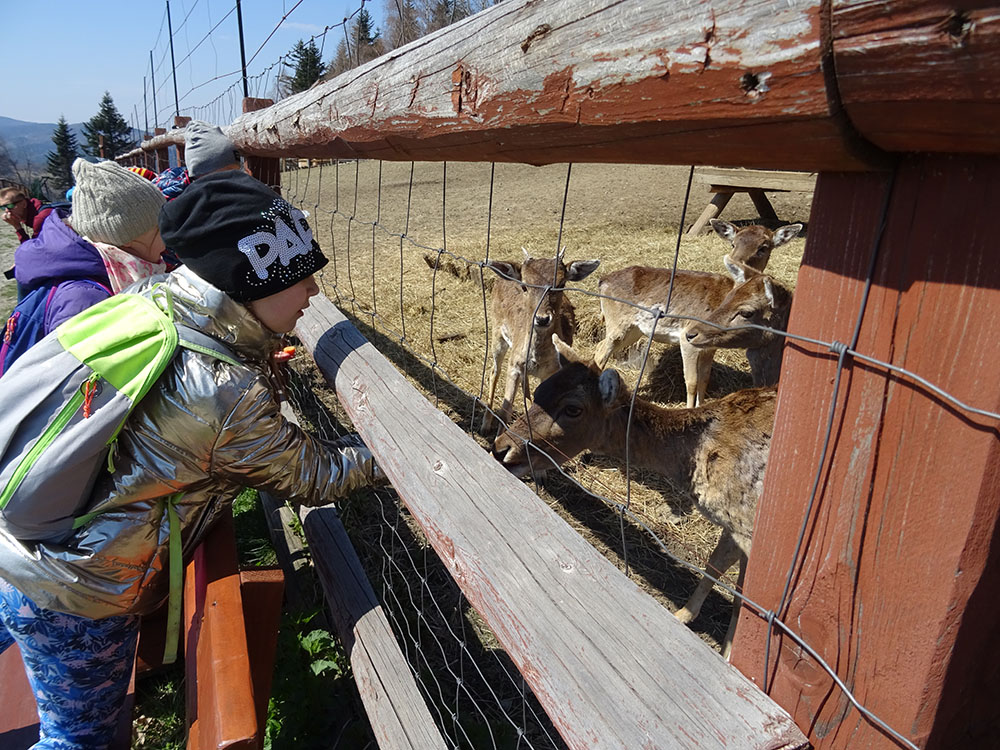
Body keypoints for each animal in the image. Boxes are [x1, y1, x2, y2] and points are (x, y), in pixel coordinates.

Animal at [481, 249, 600, 433]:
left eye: (561, 283)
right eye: (524, 285)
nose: (542, 319)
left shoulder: (551, 372)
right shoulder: (514, 365)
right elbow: (505, 411)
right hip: (496, 333)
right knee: (495, 371)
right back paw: (485, 424)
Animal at [492, 335, 776, 658]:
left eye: (573, 409)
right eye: (539, 391)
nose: (502, 448)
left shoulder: (750, 529)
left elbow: (745, 599)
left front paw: (728, 654)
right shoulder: (732, 523)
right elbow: (715, 565)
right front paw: (682, 616)